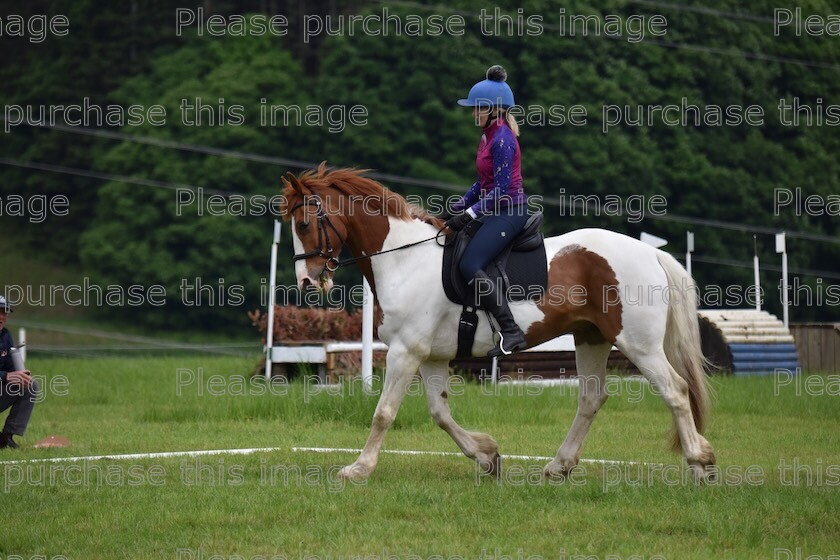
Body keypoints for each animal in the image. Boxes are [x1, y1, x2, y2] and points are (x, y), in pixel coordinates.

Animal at [280, 162, 716, 482]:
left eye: (304, 225)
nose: (307, 282)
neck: (404, 257)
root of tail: (650, 252)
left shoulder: (406, 352)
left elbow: (384, 413)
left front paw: (358, 469)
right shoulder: (432, 357)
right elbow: (440, 414)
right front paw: (486, 456)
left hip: (638, 343)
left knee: (675, 391)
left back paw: (700, 463)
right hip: (591, 338)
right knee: (591, 398)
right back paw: (559, 466)